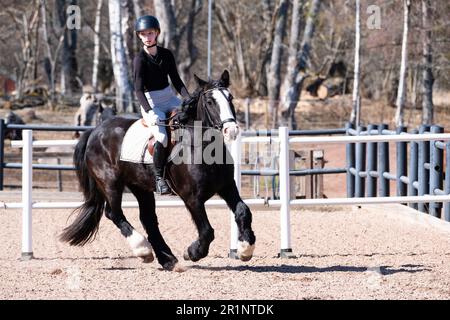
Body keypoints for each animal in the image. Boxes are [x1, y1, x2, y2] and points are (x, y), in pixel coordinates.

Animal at [61, 70, 255, 270]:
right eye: (210, 101)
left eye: (230, 98)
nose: (231, 130)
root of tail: (94, 131)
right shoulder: (192, 198)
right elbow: (207, 231)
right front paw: (192, 252)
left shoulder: (227, 186)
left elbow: (243, 211)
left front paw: (245, 249)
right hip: (110, 183)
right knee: (114, 213)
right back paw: (143, 250)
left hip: (140, 187)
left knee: (148, 219)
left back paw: (167, 259)